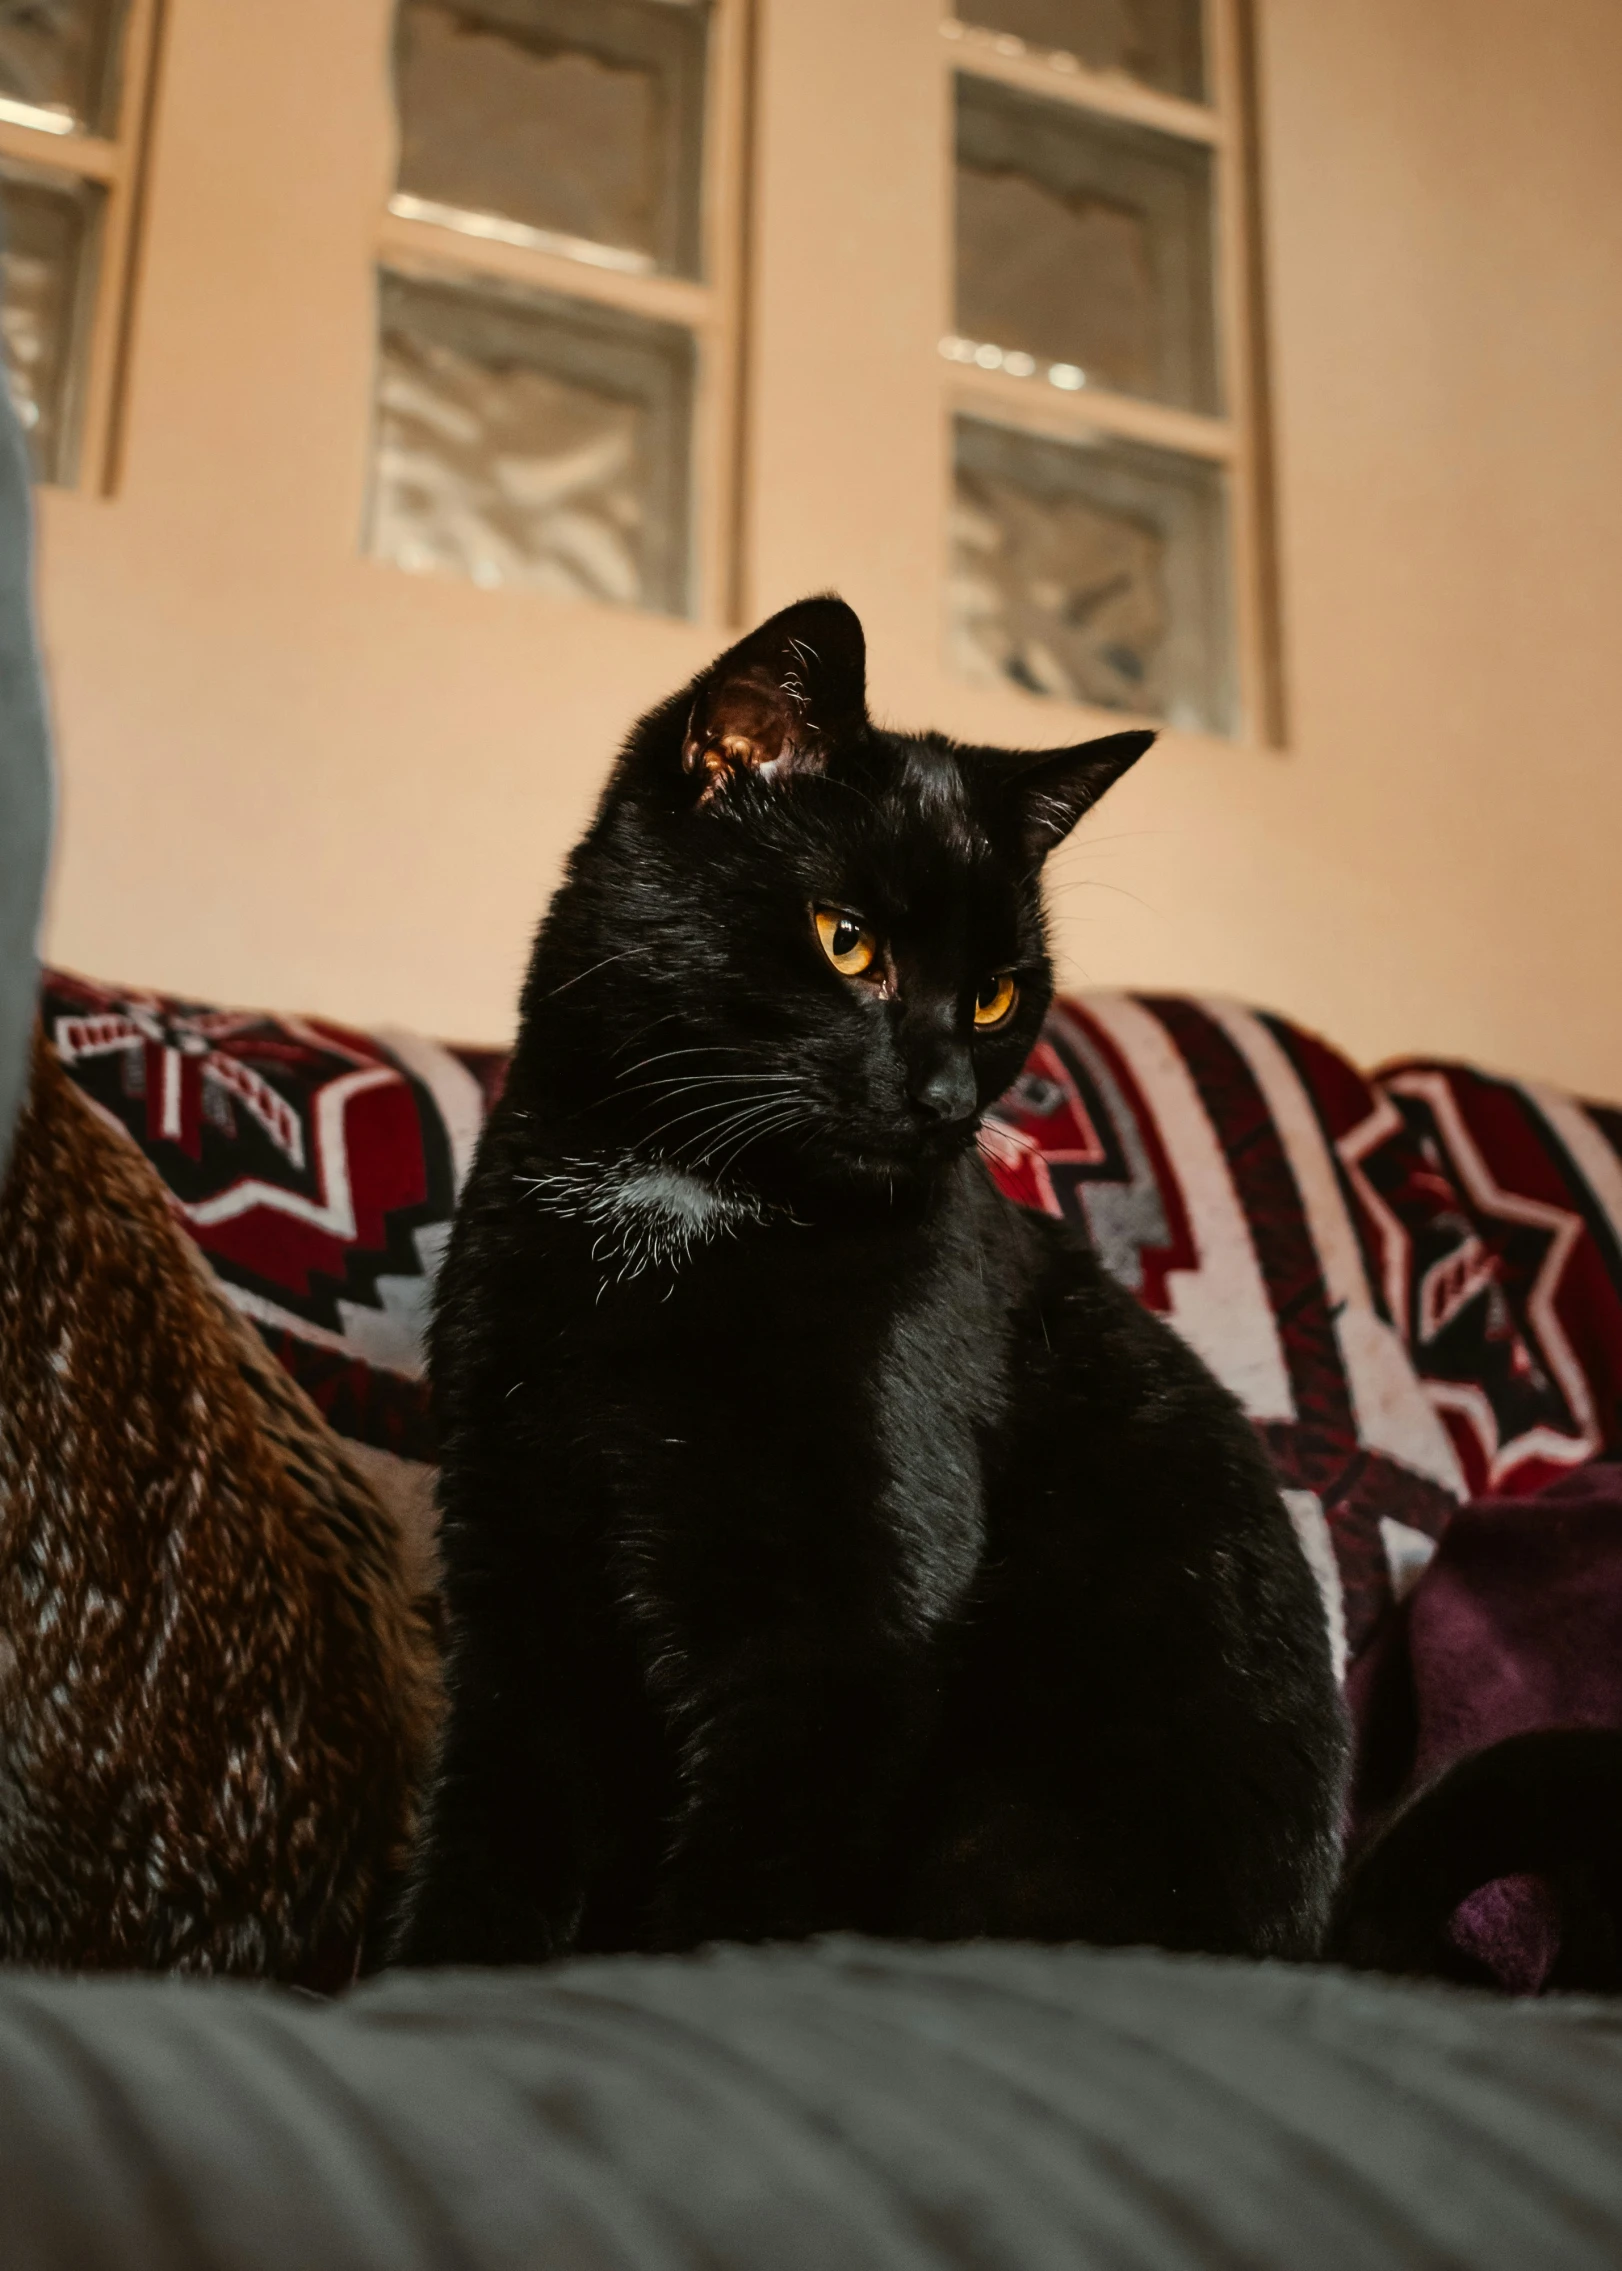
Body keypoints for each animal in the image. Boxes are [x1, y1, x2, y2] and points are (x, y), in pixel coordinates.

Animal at [388, 595, 1335, 1962]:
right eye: (848, 944)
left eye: (992, 997)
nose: (942, 1096)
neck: (679, 1203)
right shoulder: (514, 1564)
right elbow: (494, 1834)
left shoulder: (845, 1640)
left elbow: (739, 1898)